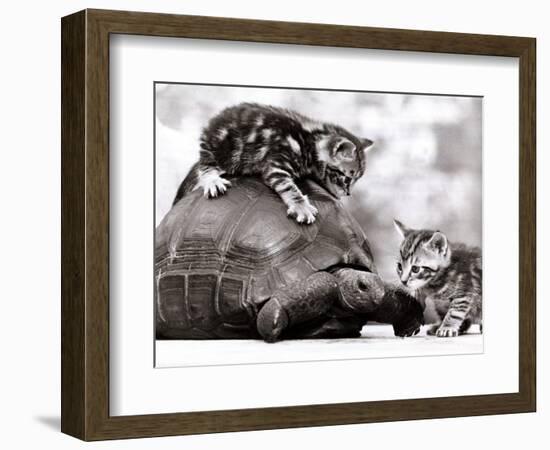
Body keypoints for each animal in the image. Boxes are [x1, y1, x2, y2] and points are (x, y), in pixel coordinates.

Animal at [174, 102, 376, 223]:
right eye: (348, 178)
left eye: (356, 179)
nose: (348, 193)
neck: (310, 140)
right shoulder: (277, 165)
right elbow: (289, 186)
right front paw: (301, 206)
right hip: (220, 149)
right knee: (205, 166)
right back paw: (212, 179)